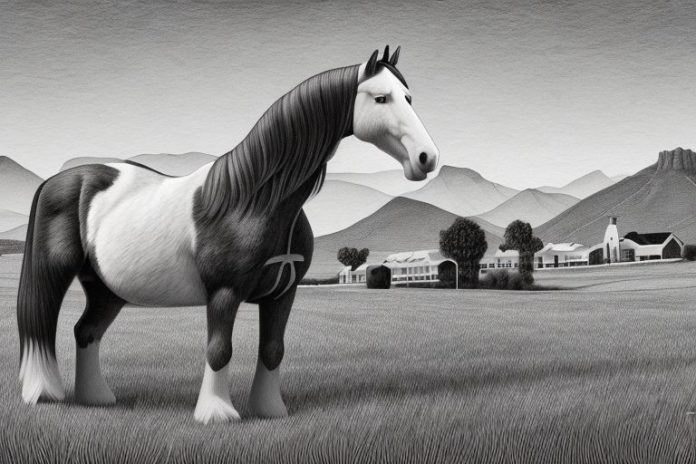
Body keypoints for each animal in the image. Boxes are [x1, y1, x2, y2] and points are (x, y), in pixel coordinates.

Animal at [17, 46, 439, 423]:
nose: (427, 158)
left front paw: (270, 410)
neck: (253, 200)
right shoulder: (224, 294)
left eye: (409, 97)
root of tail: (61, 179)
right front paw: (216, 413)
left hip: (106, 288)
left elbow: (273, 350)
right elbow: (220, 350)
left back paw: (98, 398)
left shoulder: (282, 294)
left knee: (85, 332)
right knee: (44, 327)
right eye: (381, 98)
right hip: (55, 274)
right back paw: (43, 393)